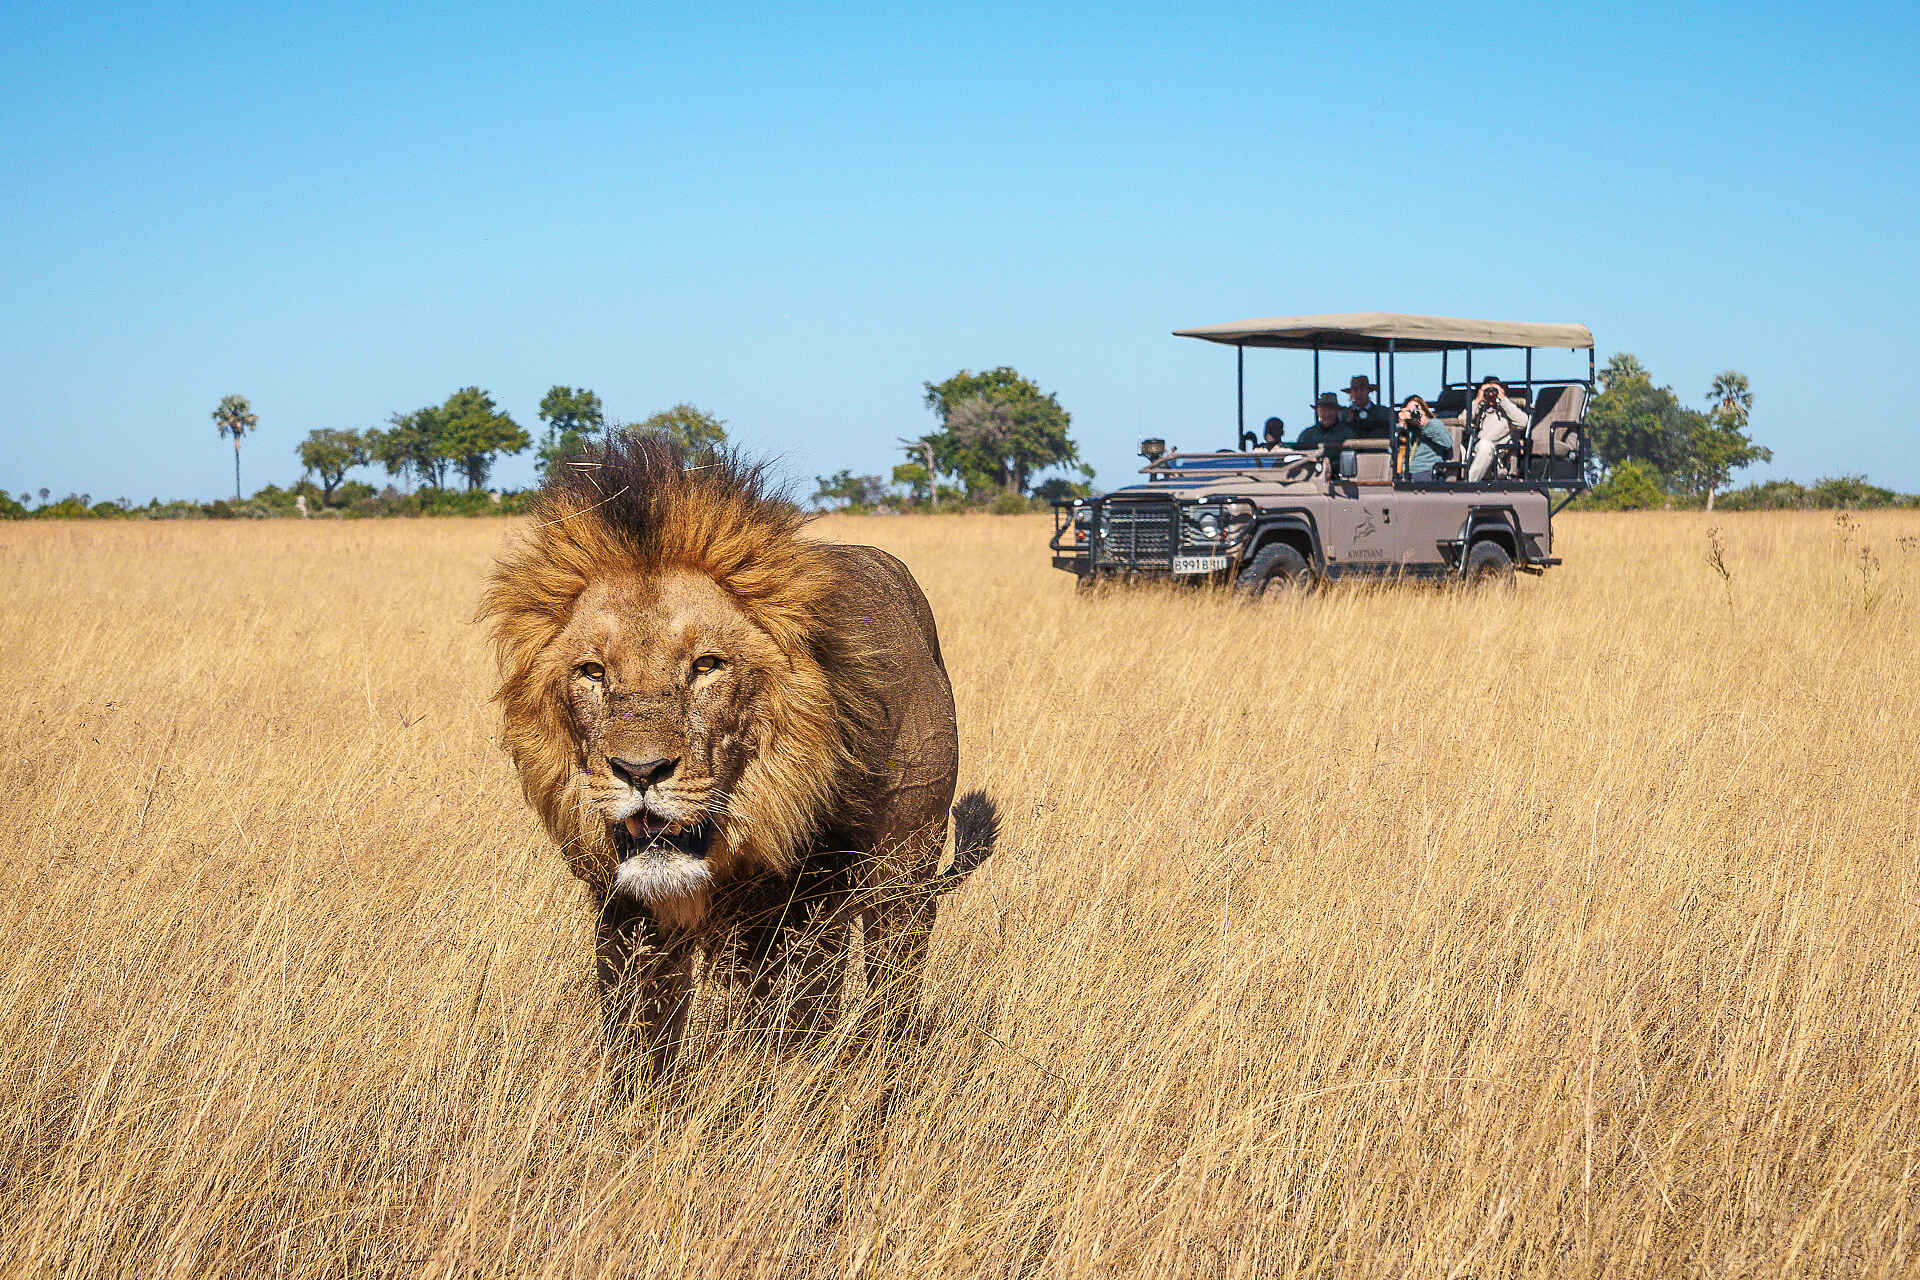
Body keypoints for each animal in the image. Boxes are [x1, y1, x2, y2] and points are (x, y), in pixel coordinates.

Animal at [481, 436, 998, 1079]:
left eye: (707, 665)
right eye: (593, 672)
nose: (640, 772)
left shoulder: (796, 916)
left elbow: (780, 1037)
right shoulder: (626, 915)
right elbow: (640, 1045)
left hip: (902, 869)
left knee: (891, 975)